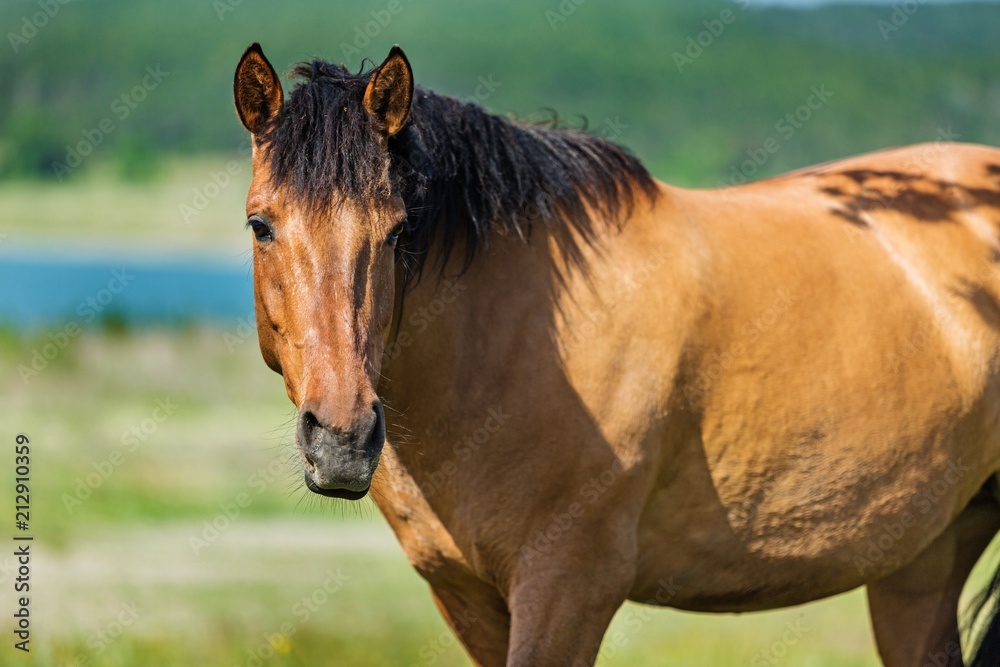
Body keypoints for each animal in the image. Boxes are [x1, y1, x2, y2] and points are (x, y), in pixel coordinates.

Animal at [230, 44, 1000, 664]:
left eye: (396, 231)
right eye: (260, 225)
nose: (342, 440)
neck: (509, 345)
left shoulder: (569, 584)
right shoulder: (467, 594)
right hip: (922, 562)